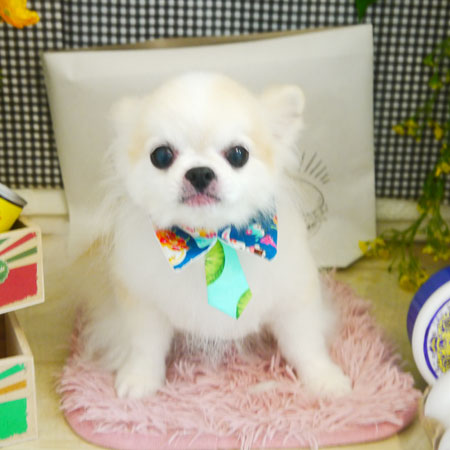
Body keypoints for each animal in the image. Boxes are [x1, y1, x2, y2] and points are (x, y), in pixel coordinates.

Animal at [81, 72, 352, 399]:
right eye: (161, 155)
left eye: (238, 154)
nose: (199, 172)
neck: (211, 242)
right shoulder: (143, 302)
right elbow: (145, 346)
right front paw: (140, 378)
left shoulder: (294, 297)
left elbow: (306, 344)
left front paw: (324, 378)